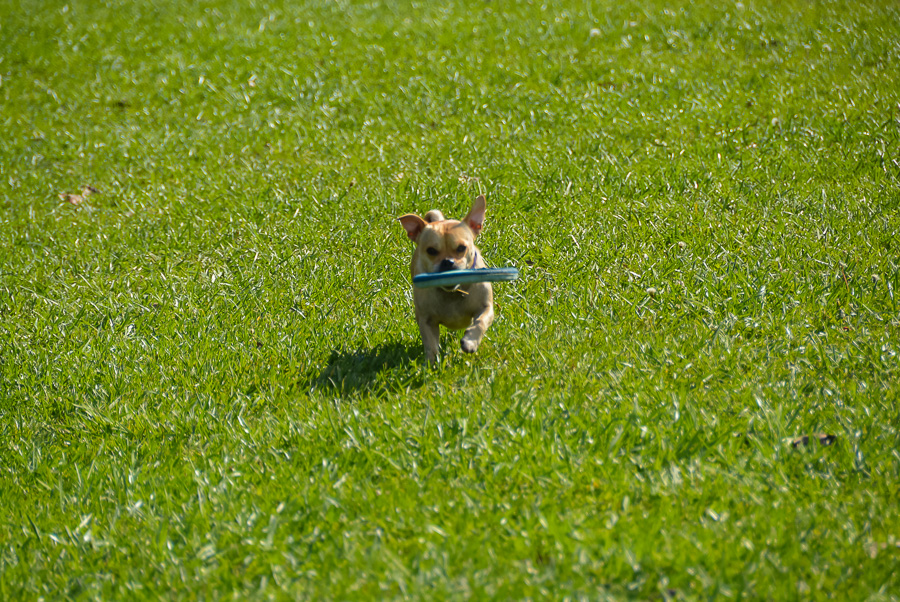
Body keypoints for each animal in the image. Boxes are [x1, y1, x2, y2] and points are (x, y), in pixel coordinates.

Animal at [398, 195, 494, 363]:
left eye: (461, 248)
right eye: (431, 251)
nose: (447, 262)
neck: (452, 292)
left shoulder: (486, 307)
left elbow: (480, 322)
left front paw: (470, 342)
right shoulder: (426, 320)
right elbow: (430, 343)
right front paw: (432, 362)